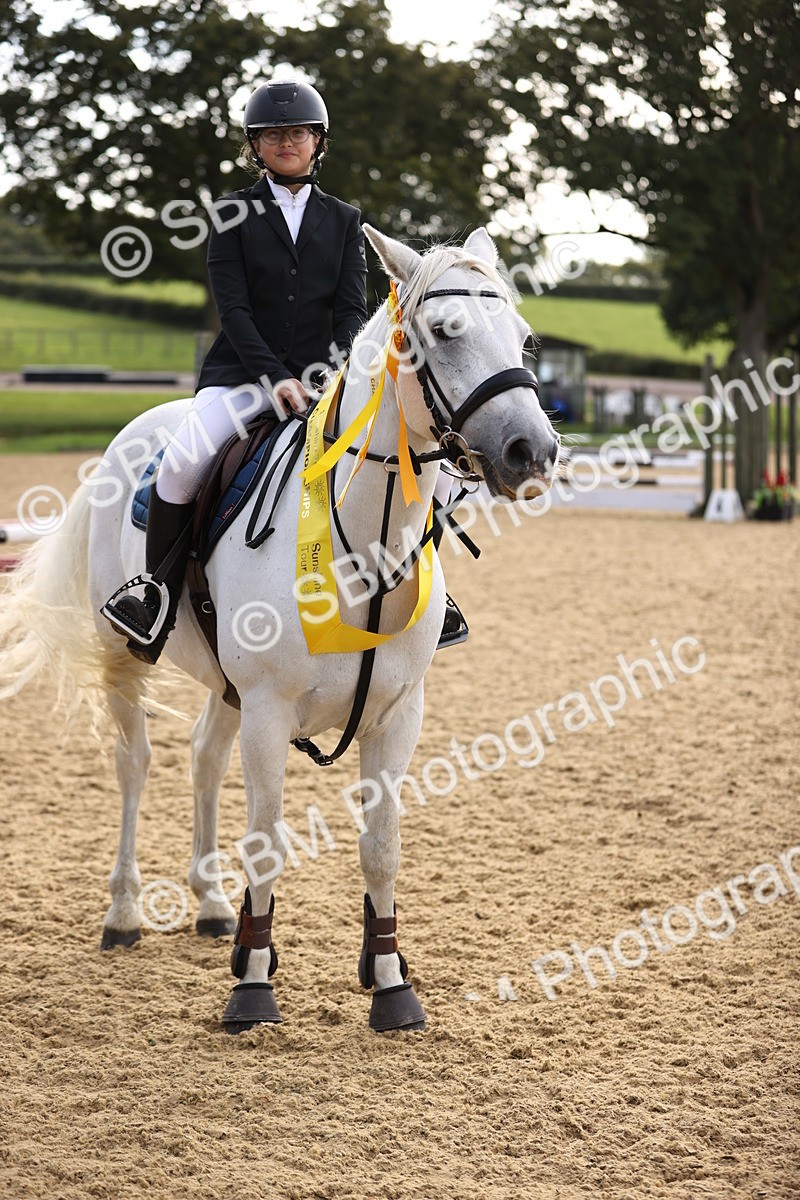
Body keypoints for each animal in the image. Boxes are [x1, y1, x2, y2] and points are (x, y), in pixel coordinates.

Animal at [0, 225, 559, 1033]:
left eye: (523, 337)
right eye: (444, 332)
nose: (532, 453)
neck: (367, 542)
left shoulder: (398, 715)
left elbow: (381, 848)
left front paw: (390, 984)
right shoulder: (268, 711)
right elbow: (265, 843)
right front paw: (254, 987)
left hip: (225, 685)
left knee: (203, 758)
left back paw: (210, 908)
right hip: (125, 659)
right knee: (135, 764)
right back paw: (125, 914)